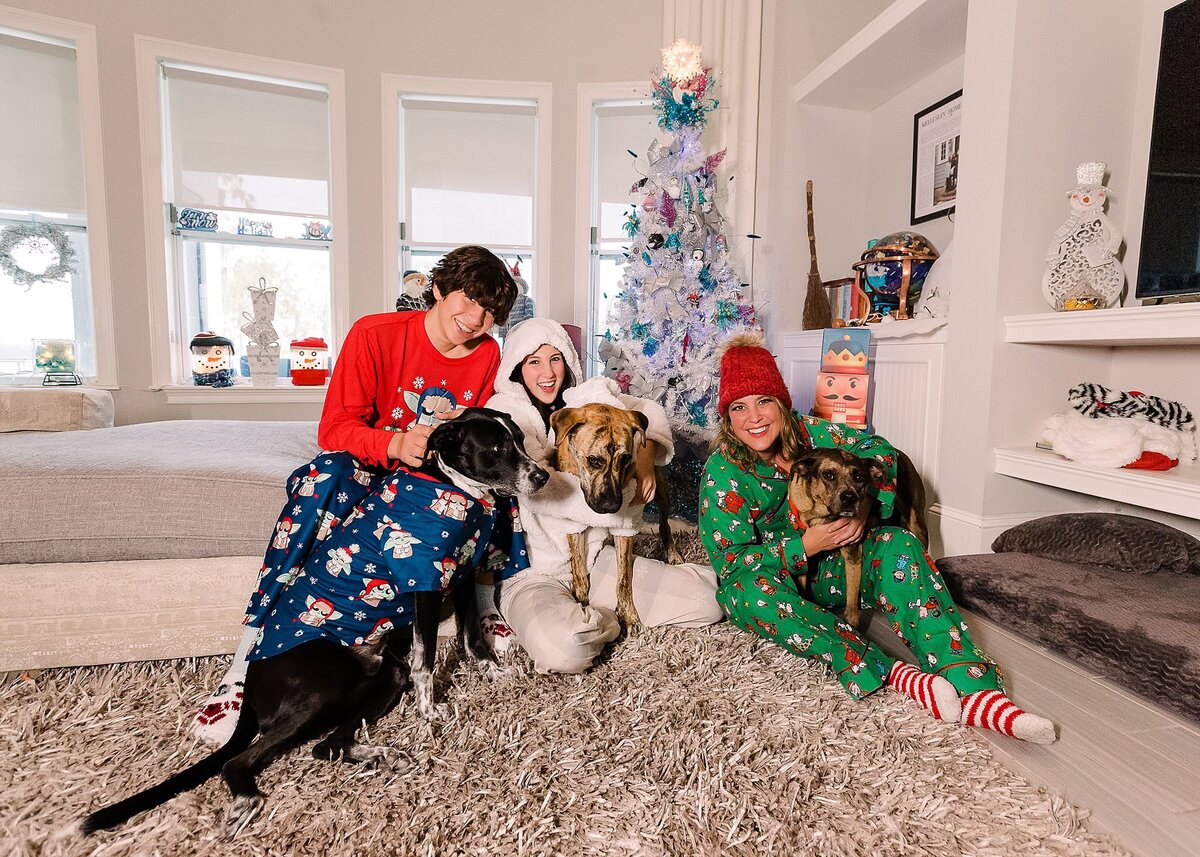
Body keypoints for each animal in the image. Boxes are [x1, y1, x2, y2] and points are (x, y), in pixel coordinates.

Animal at [82, 405, 549, 835]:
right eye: (495, 448)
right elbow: (426, 660)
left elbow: (472, 637)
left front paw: (492, 669)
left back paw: (382, 755)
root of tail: (252, 684)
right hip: (323, 686)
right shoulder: (426, 585)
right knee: (241, 761)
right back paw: (245, 800)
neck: (455, 489)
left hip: (378, 679)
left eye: (519, 440)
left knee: (327, 746)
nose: (542, 476)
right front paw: (429, 710)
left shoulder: (464, 571)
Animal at [549, 400, 676, 628]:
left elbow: (624, 578)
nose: (611, 505)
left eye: (625, 459)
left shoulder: (624, 526)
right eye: (594, 460)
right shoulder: (573, 523)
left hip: (661, 487)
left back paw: (672, 553)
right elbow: (579, 571)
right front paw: (581, 601)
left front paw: (627, 614)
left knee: (664, 524)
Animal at [787, 446, 926, 628]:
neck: (821, 516)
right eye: (828, 475)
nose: (849, 497)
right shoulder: (804, 554)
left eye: (859, 478)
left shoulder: (853, 556)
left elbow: (852, 605)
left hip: (916, 520)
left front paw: (851, 624)